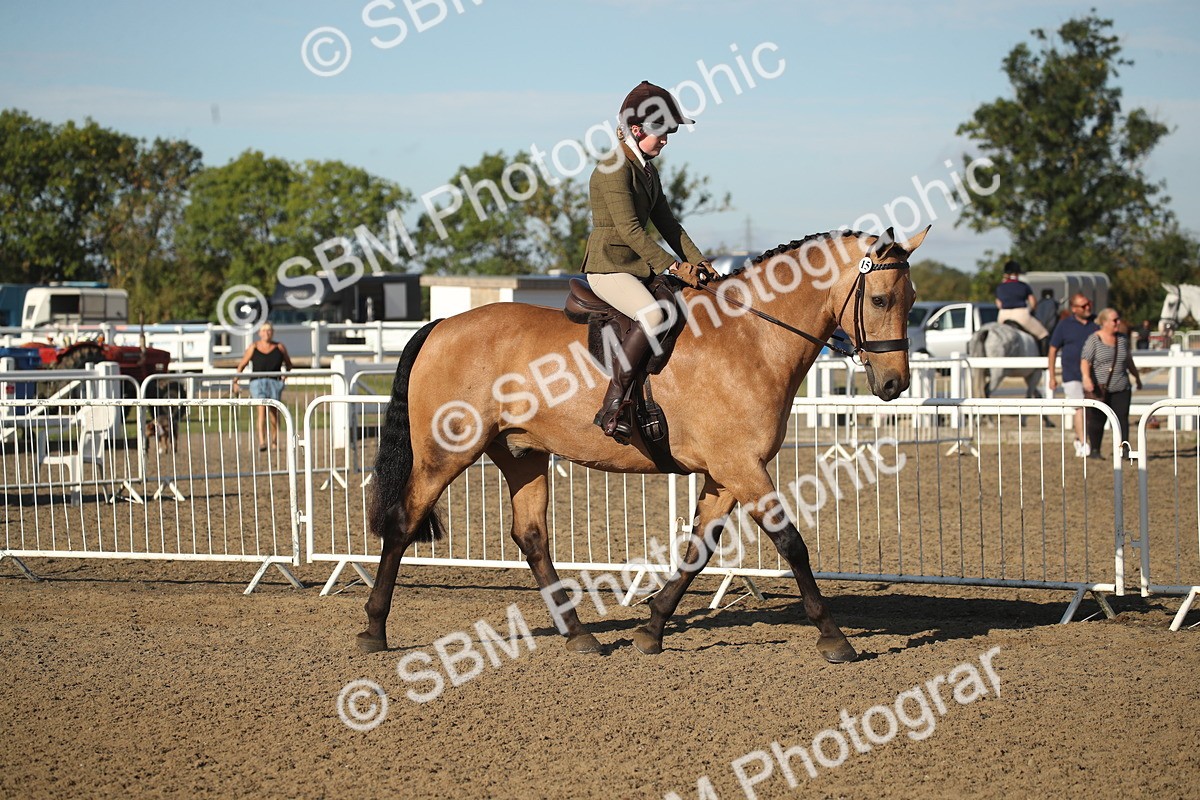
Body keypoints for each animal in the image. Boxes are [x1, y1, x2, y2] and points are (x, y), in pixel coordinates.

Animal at [362, 226, 927, 664]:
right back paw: (374, 628)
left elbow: (698, 549)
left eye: (914, 300)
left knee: (531, 537)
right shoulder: (742, 467)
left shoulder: (726, 472)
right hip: (446, 454)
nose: (894, 384)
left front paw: (651, 629)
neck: (750, 337)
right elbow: (791, 543)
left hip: (522, 454)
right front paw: (834, 638)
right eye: (880, 299)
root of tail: (441, 326)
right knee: (405, 521)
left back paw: (580, 636)